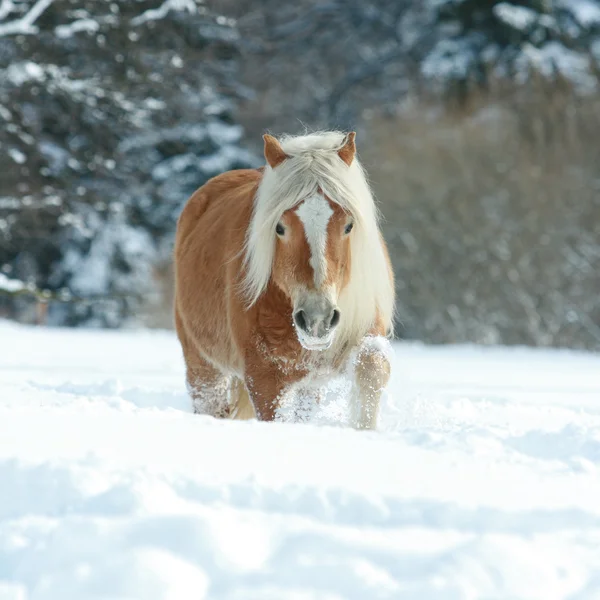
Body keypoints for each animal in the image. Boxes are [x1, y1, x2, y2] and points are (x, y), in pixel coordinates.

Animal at [173, 132, 396, 426]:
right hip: (203, 368)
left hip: (308, 384)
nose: (317, 319)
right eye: (279, 227)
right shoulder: (264, 376)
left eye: (348, 225)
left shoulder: (364, 329)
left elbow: (372, 369)